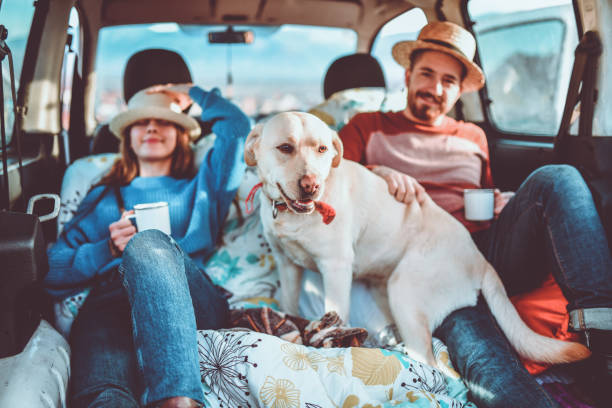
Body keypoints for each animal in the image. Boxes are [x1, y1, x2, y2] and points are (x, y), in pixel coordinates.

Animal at [246, 111, 592, 366]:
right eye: (285, 148)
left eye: (322, 149)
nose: (311, 186)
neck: (293, 216)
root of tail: (480, 259)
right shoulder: (287, 265)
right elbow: (290, 303)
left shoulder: (335, 268)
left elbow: (335, 314)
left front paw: (330, 339)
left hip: (405, 291)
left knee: (430, 362)